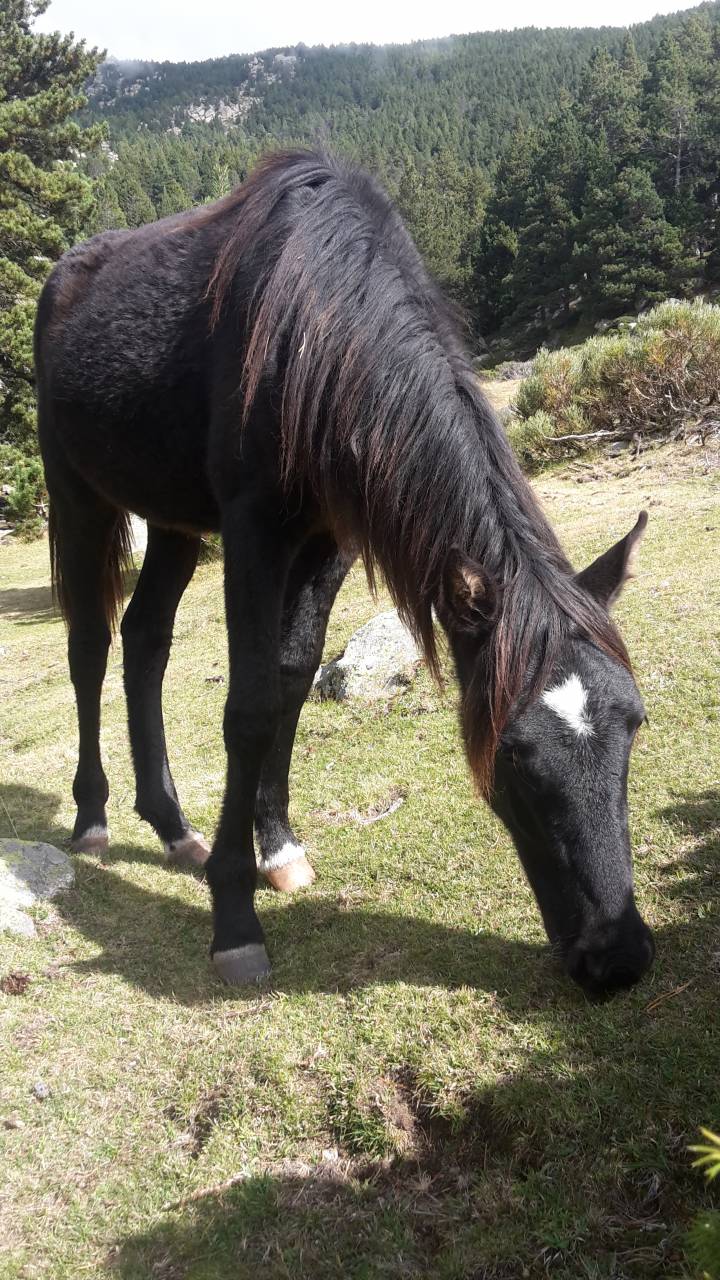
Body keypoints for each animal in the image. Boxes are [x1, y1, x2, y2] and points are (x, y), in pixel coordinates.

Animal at [35, 149, 654, 993]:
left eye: (634, 722)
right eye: (515, 753)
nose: (617, 958)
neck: (316, 320)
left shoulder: (331, 541)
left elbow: (293, 681)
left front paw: (279, 848)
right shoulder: (253, 532)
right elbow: (250, 708)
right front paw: (235, 917)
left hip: (170, 522)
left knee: (145, 641)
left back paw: (170, 825)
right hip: (80, 498)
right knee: (90, 647)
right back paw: (93, 817)